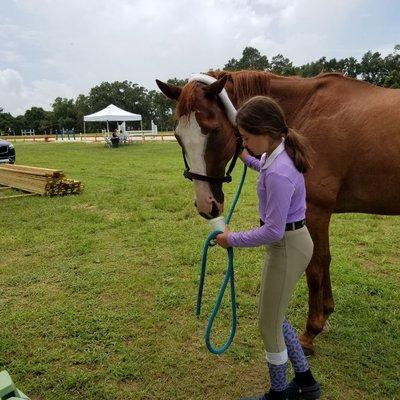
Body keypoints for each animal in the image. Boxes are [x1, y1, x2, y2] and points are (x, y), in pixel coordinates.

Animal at [155, 71, 400, 354]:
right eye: (177, 136)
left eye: (214, 131)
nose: (207, 205)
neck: (307, 110)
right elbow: (325, 260)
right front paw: (326, 313)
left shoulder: (315, 211)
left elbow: (316, 266)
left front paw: (311, 332)